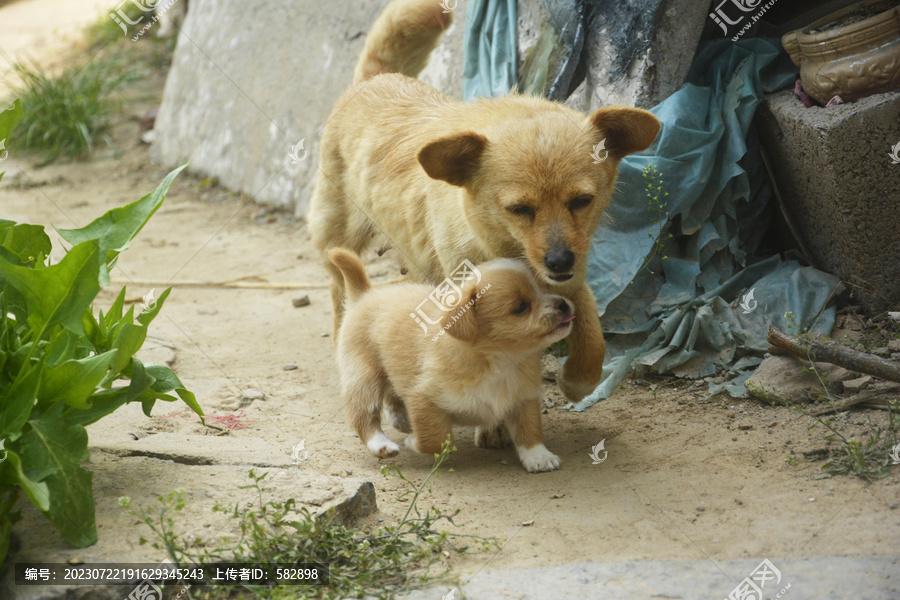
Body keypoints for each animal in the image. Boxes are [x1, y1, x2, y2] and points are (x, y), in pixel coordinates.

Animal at [310, 1, 660, 404]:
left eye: (582, 201)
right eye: (519, 209)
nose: (559, 260)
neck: (501, 244)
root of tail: (375, 79)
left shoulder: (572, 276)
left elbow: (592, 327)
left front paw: (580, 378)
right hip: (338, 234)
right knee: (340, 287)